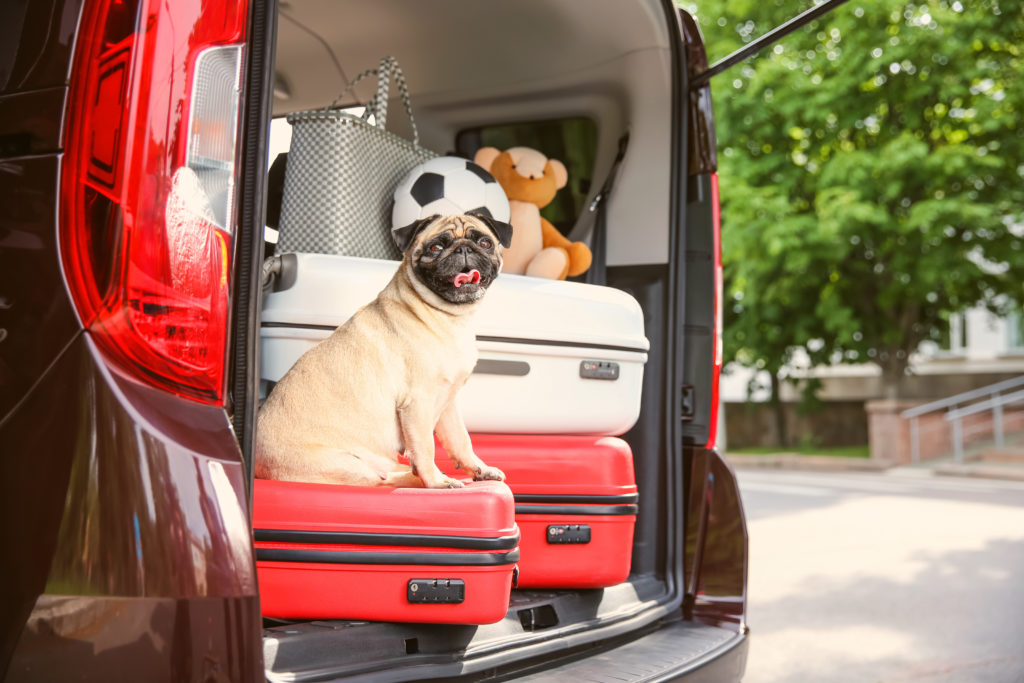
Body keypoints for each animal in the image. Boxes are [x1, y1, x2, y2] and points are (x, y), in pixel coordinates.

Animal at [256, 211, 512, 485]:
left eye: (484, 243)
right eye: (436, 247)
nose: (464, 248)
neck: (449, 317)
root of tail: (257, 462)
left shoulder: (448, 402)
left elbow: (461, 439)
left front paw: (479, 469)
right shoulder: (417, 403)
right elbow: (426, 448)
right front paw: (436, 481)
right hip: (348, 466)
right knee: (382, 479)